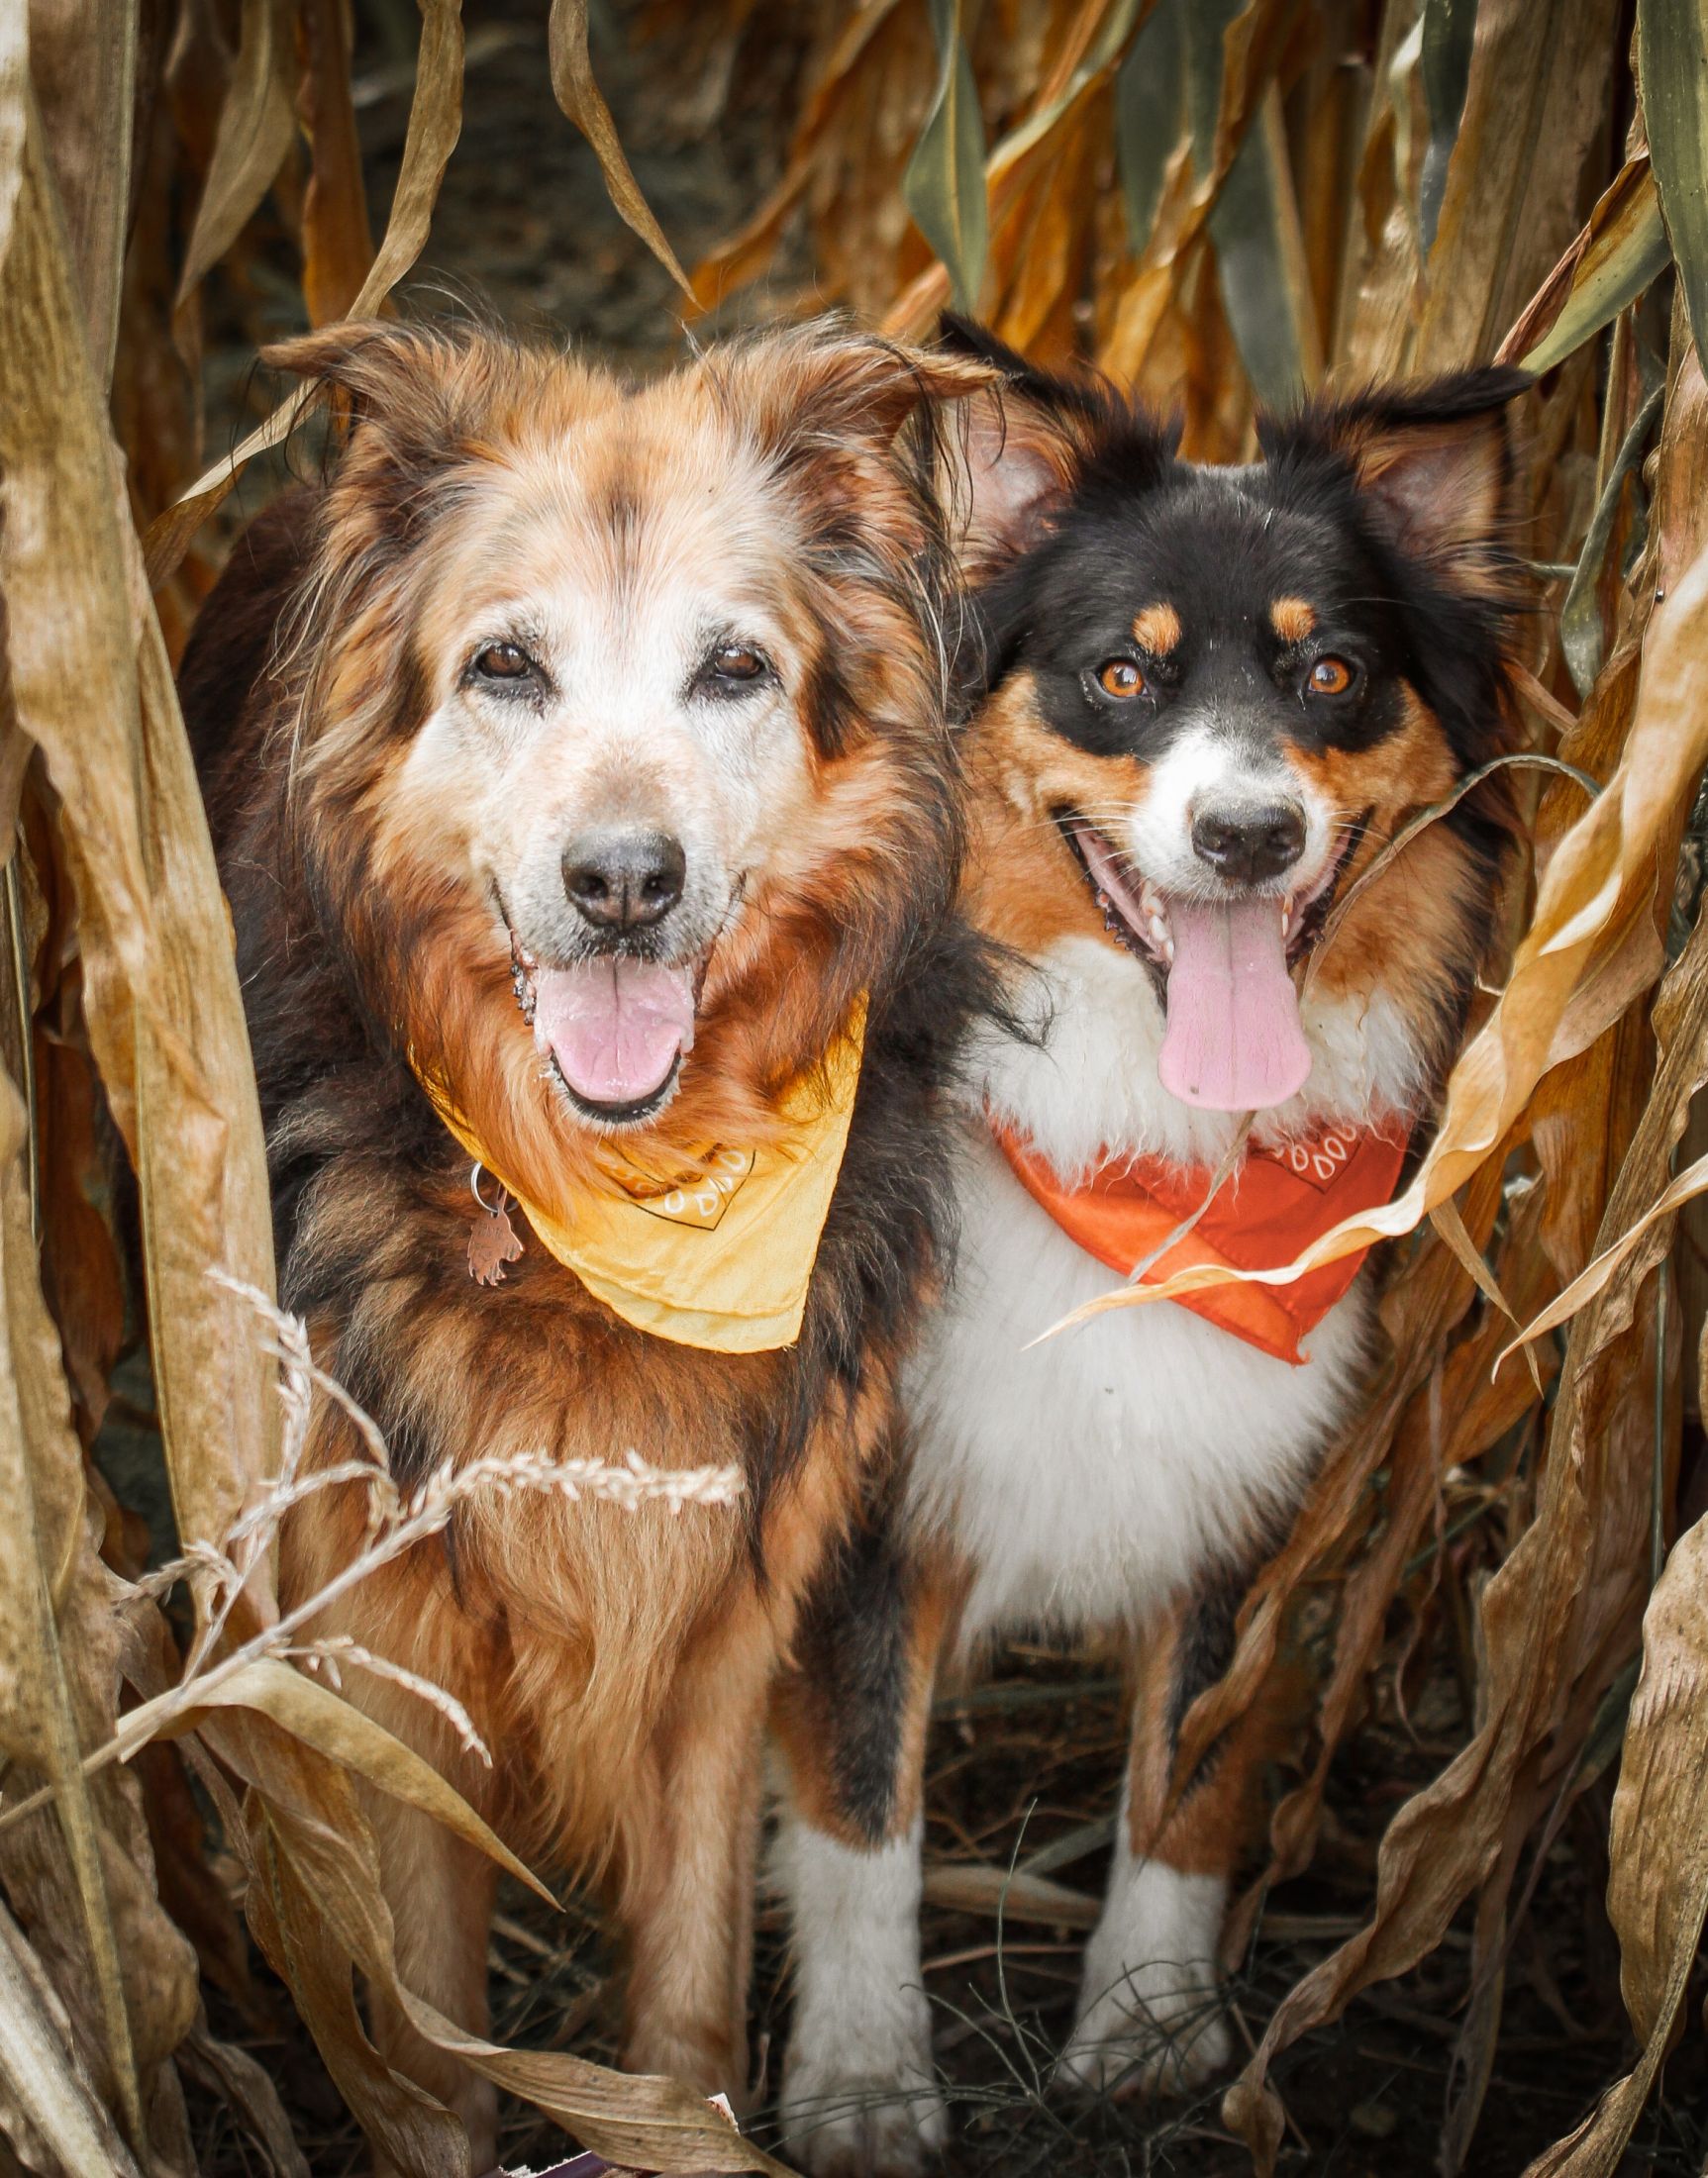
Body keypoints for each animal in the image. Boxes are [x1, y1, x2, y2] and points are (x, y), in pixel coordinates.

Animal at [779, 327, 1525, 2178]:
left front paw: (1147, 2021)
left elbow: (1192, 1768)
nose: (1249, 836)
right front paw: (863, 2080)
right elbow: (858, 1807)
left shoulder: (1252, 1490)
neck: (1150, 1152)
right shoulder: (851, 1495)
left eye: (1331, 673)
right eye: (1121, 675)